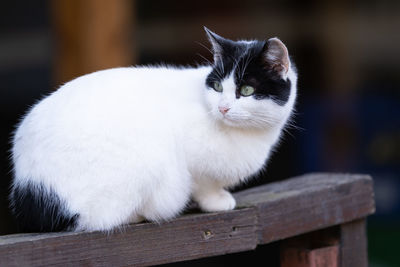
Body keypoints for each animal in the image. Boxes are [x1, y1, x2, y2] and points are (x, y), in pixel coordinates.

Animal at [9, 27, 296, 232]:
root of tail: (29, 187)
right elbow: (203, 184)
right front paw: (217, 201)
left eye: (246, 90)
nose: (223, 108)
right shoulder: (193, 163)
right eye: (217, 87)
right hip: (147, 162)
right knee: (99, 218)